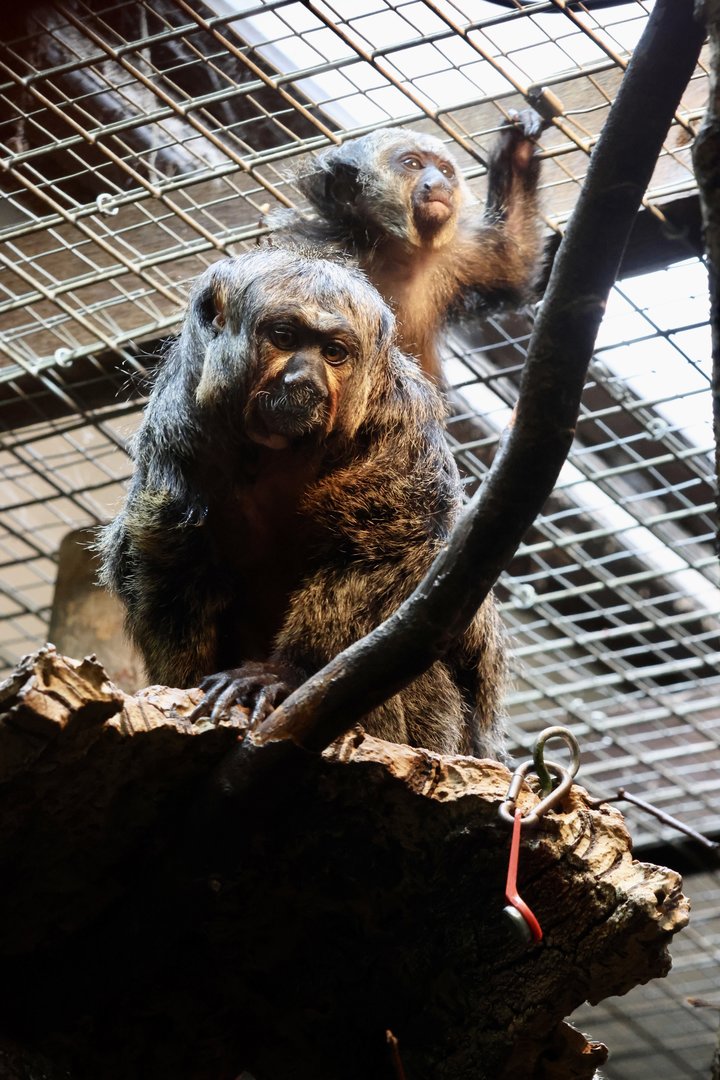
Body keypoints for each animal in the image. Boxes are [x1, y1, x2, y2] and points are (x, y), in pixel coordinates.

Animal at [98, 247, 507, 758]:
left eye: (334, 353)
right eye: (284, 337)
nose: (304, 379)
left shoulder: (399, 423)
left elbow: (384, 550)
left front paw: (284, 676)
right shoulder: (178, 424)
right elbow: (166, 559)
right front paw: (181, 683)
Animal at [264, 115, 544, 384]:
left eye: (445, 170)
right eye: (413, 164)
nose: (440, 183)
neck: (393, 254)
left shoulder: (459, 254)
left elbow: (513, 260)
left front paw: (518, 148)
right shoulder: (312, 246)